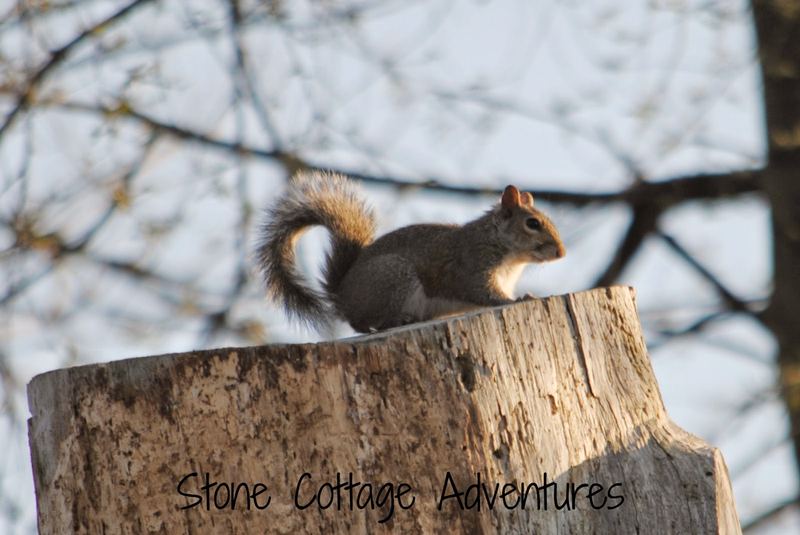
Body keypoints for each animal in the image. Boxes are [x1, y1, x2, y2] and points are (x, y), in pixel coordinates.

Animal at [257, 171, 566, 333]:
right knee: (361, 323)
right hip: (394, 278)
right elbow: (485, 294)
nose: (561, 253)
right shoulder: (472, 267)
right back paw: (392, 321)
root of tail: (342, 296)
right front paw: (518, 299)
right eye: (532, 223)